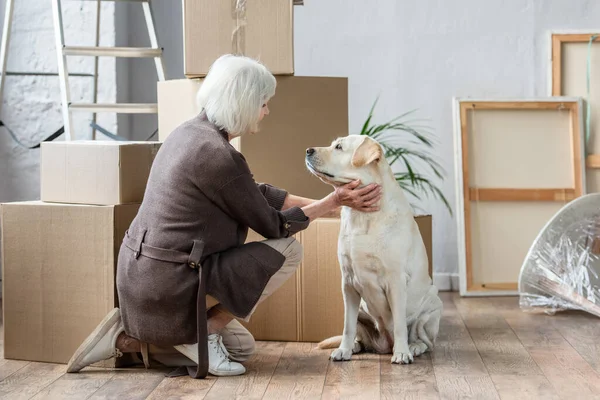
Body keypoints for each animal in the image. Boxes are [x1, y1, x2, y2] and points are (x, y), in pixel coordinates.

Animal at [308, 136, 442, 364]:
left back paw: (412, 347)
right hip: (362, 310)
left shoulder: (396, 282)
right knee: (359, 333)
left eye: (339, 147)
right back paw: (355, 346)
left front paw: (402, 353)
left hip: (432, 304)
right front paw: (343, 350)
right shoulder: (348, 283)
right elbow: (347, 326)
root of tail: (384, 345)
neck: (362, 217)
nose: (308, 150)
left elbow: (399, 324)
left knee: (425, 340)